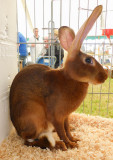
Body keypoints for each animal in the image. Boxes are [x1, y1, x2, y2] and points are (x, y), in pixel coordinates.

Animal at [9, 4, 107, 150]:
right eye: (88, 60)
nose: (105, 76)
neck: (71, 78)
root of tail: (18, 130)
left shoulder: (66, 116)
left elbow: (67, 129)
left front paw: (74, 139)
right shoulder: (57, 116)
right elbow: (62, 132)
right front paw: (70, 144)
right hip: (33, 114)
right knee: (29, 141)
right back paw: (57, 145)